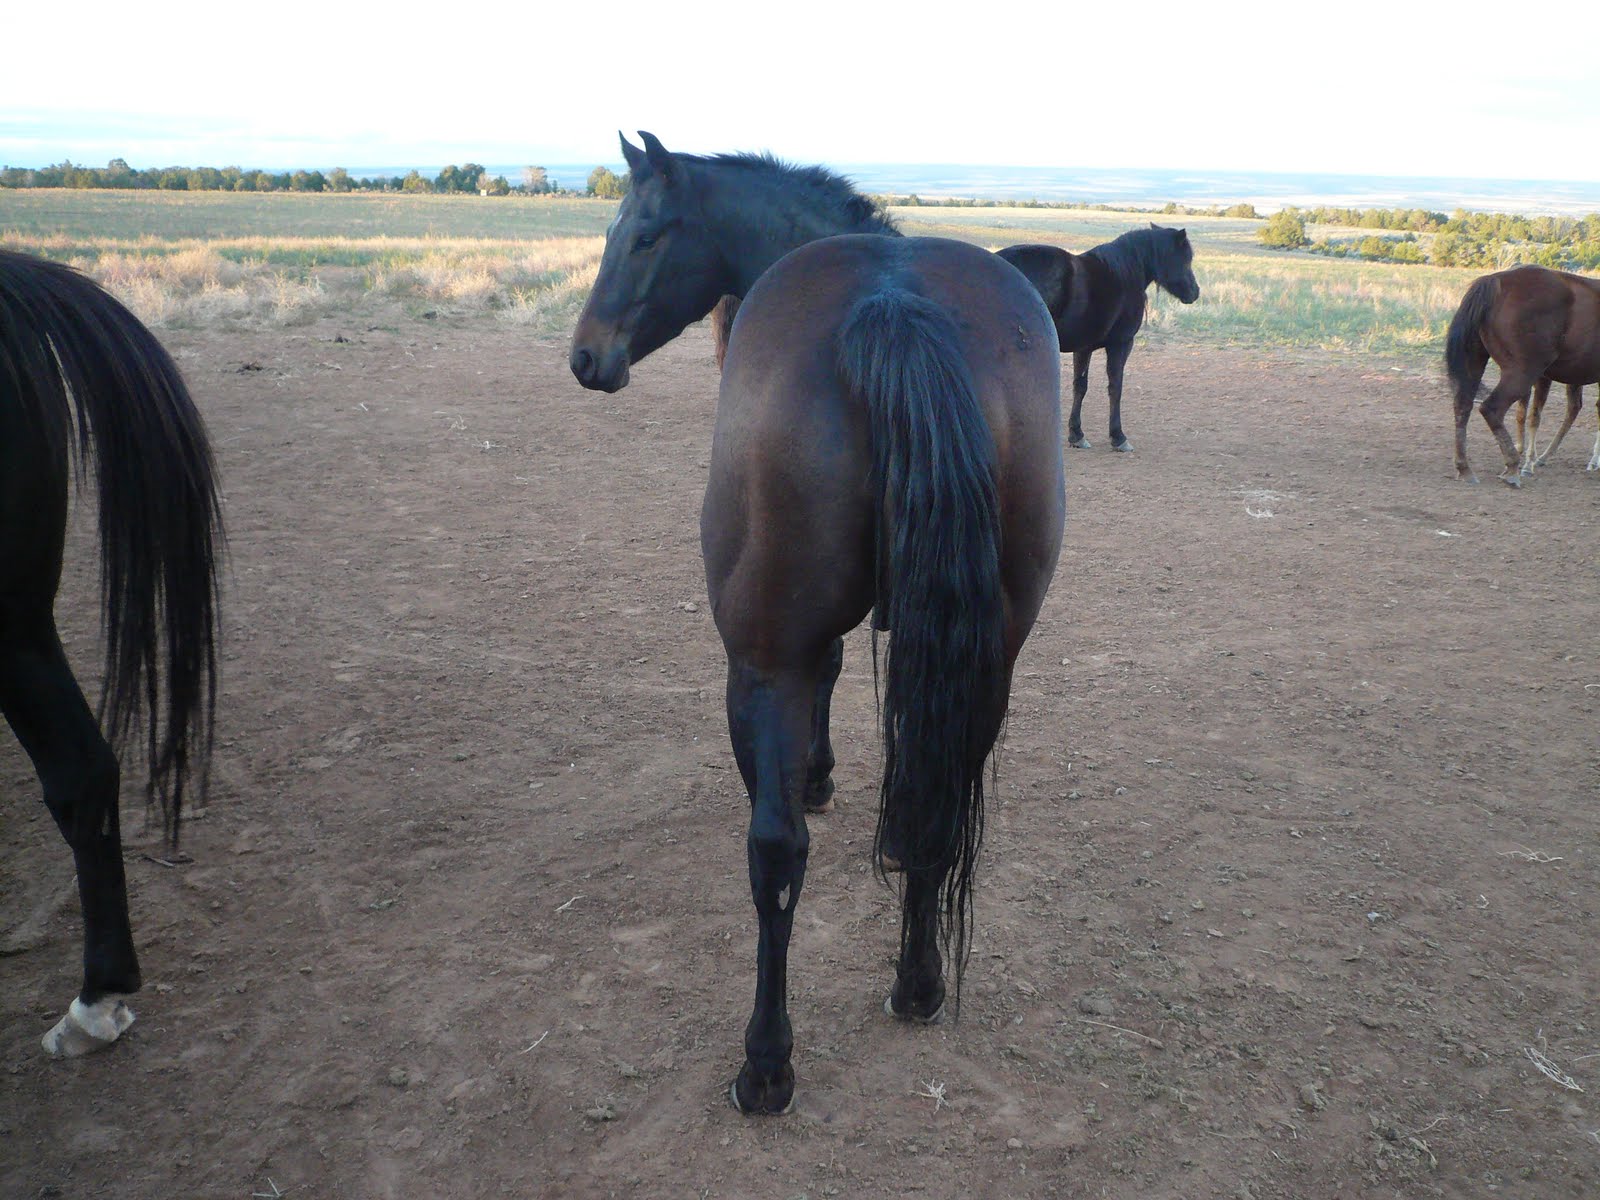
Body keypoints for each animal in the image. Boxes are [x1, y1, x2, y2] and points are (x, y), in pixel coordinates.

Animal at [571, 133, 1064, 1115]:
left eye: (643, 234)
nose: (585, 356)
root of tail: (894, 302)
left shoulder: (798, 650)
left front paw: (819, 777)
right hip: (993, 655)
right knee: (936, 807)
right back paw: (918, 984)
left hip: (762, 661)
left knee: (774, 855)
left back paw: (766, 1063)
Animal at [997, 226, 1199, 452]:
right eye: (1185, 259)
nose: (1195, 292)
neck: (1124, 274)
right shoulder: (1120, 344)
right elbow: (1115, 387)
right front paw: (1118, 436)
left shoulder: (1082, 348)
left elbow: (1080, 387)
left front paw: (1076, 434)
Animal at [1445, 264, 1600, 485]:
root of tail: (1496, 281)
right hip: (1523, 373)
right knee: (1492, 409)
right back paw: (1513, 467)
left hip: (1475, 361)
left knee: (1462, 406)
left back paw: (1465, 468)